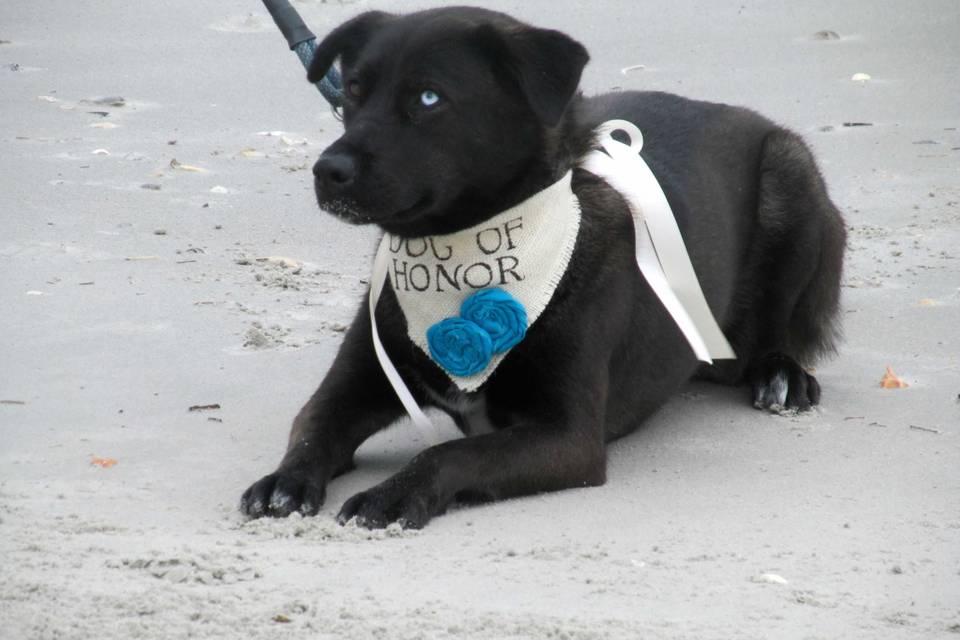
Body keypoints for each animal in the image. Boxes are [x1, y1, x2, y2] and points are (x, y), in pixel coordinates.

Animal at [238, 7, 840, 528]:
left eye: (429, 98)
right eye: (353, 94)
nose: (327, 170)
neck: (461, 251)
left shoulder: (567, 437)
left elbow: (453, 453)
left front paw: (392, 495)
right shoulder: (356, 382)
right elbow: (313, 425)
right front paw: (284, 481)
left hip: (790, 171)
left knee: (779, 332)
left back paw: (781, 374)